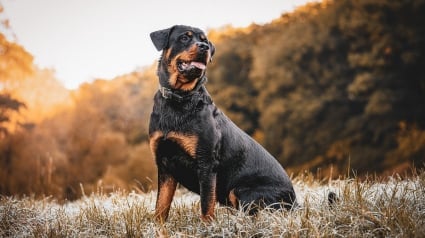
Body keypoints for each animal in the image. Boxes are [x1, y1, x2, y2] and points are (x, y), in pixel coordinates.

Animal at [147, 25, 296, 222]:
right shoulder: (164, 164)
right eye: (184, 38)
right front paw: (158, 227)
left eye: (204, 40)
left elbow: (206, 205)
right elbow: (161, 206)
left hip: (242, 191)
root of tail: (295, 202)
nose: (204, 47)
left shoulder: (206, 163)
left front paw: (207, 226)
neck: (179, 98)